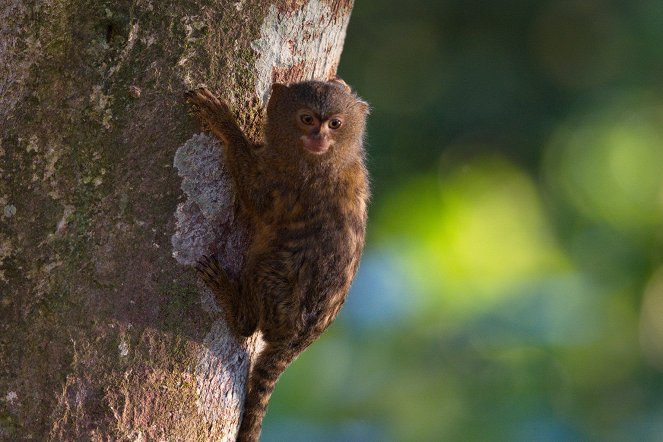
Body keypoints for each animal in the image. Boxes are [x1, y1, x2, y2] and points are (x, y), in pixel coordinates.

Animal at [187, 79, 370, 442]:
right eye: (307, 119)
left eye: (335, 124)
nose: (318, 137)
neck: (332, 158)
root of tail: (296, 341)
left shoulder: (290, 182)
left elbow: (255, 199)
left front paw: (224, 123)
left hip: (282, 295)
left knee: (255, 302)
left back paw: (232, 302)